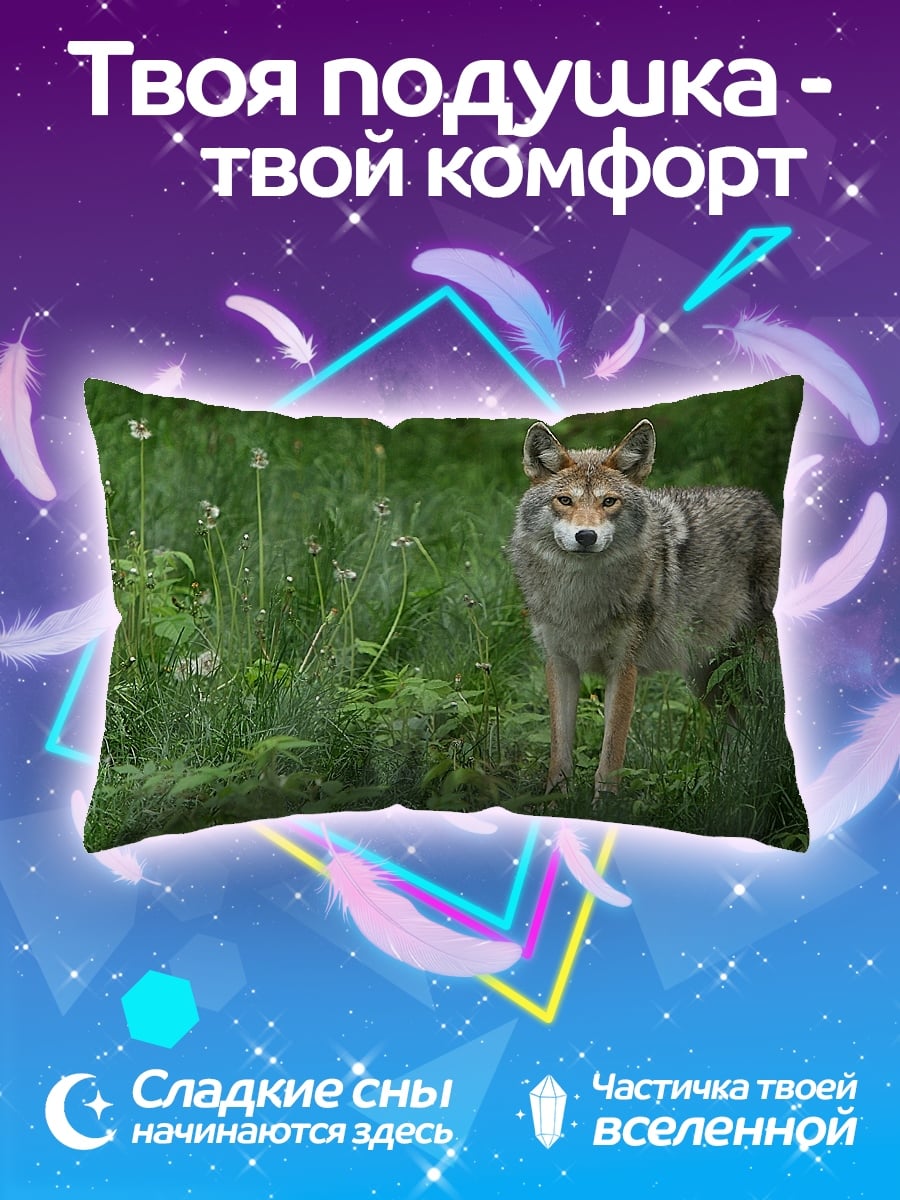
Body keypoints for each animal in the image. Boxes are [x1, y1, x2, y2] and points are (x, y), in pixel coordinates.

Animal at [507, 419, 782, 803]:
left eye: (609, 501)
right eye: (565, 500)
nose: (586, 536)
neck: (581, 596)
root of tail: (765, 505)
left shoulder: (624, 667)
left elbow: (611, 753)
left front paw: (604, 807)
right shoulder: (559, 664)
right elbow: (559, 751)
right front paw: (554, 802)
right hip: (707, 679)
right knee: (743, 727)